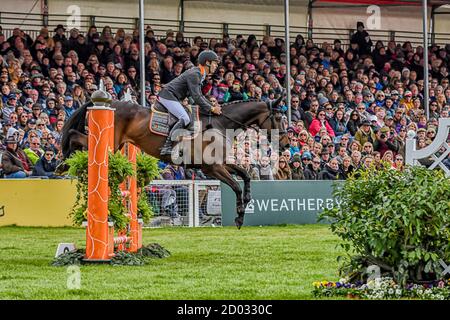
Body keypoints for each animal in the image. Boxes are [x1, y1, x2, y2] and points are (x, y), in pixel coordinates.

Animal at [59, 96, 288, 229]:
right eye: (278, 118)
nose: (285, 143)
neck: (221, 125)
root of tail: (111, 104)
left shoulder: (221, 163)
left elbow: (246, 176)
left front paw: (246, 204)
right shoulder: (212, 168)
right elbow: (236, 187)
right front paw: (239, 217)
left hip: (116, 144)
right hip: (110, 142)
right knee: (75, 135)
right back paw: (64, 162)